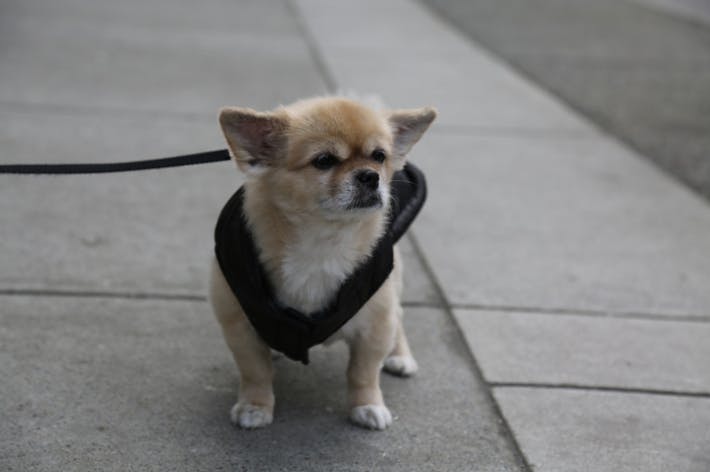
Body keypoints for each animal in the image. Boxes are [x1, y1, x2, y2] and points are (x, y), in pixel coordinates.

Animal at [209, 97, 436, 430]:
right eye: (324, 160)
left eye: (379, 156)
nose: (370, 175)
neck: (322, 241)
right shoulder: (239, 326)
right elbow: (255, 372)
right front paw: (255, 405)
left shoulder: (375, 325)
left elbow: (363, 373)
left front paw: (367, 405)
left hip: (391, 288)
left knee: (399, 315)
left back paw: (400, 356)